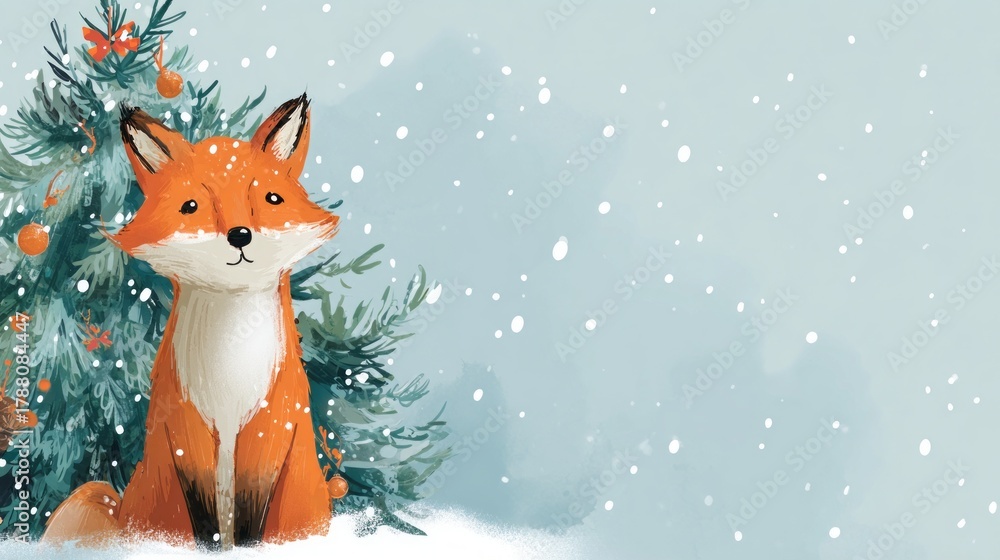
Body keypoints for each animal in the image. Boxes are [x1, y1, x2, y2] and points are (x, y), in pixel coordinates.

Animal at [41, 94, 340, 550]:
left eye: (271, 199)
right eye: (191, 207)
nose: (239, 235)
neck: (229, 367)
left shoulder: (269, 428)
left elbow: (251, 525)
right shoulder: (185, 429)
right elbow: (204, 521)